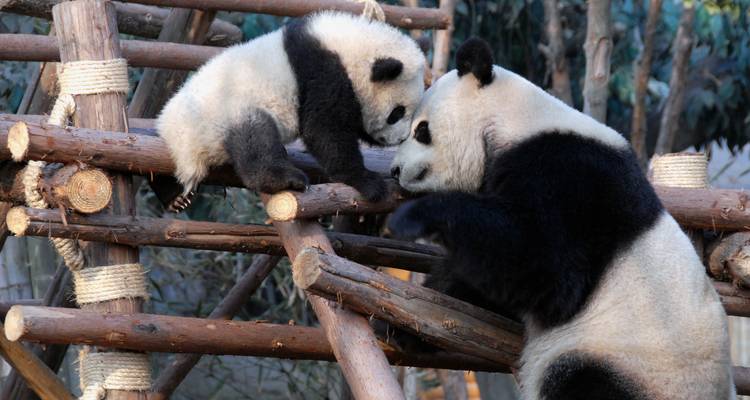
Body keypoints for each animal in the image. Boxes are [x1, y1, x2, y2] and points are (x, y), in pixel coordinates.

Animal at [155, 12, 425, 211]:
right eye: (397, 112)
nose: (399, 138)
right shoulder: (323, 72)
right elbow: (324, 130)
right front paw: (368, 182)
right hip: (227, 112)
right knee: (256, 141)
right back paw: (286, 179)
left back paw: (174, 197)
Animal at [387, 38, 735, 399]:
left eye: (421, 130)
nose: (395, 170)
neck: (515, 119)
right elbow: (483, 278)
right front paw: (405, 328)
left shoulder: (570, 180)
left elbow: (547, 270)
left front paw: (417, 215)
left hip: (631, 363)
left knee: (579, 379)